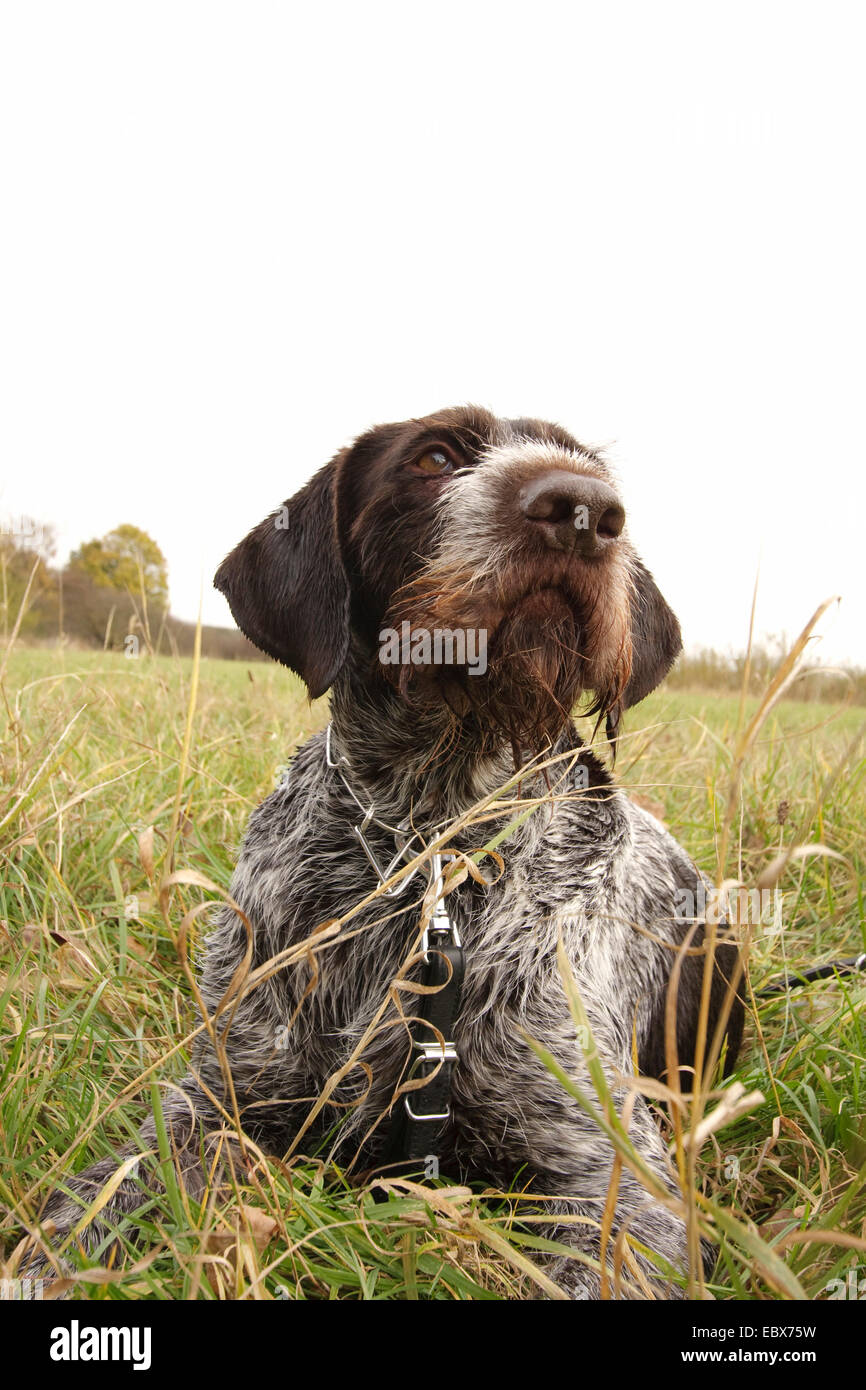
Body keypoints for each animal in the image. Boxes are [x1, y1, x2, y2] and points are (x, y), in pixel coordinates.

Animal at [20, 405, 745, 1295]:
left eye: (590, 469)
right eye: (432, 458)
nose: (585, 510)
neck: (428, 832)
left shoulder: (613, 1184)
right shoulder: (219, 1097)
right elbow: (101, 1196)